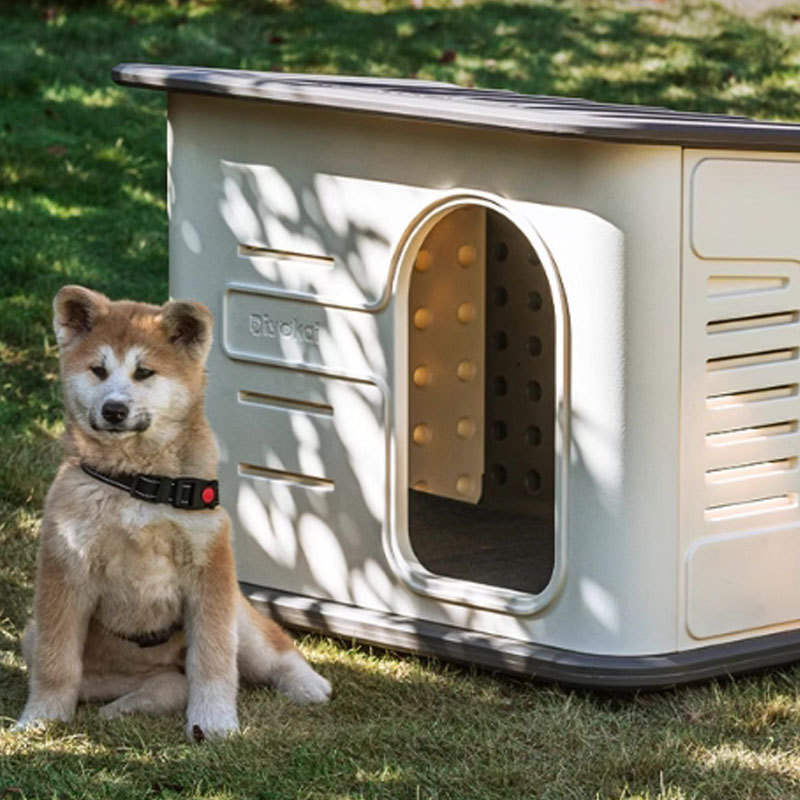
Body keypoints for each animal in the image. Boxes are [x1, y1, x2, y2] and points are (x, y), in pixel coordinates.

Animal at [14, 284, 332, 740]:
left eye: (144, 372)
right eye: (98, 370)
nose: (113, 409)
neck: (135, 483)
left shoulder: (209, 571)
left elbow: (213, 660)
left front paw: (214, 722)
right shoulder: (65, 568)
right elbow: (56, 661)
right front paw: (41, 718)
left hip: (240, 617)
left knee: (273, 649)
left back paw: (308, 684)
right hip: (41, 639)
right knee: (168, 682)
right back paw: (127, 705)